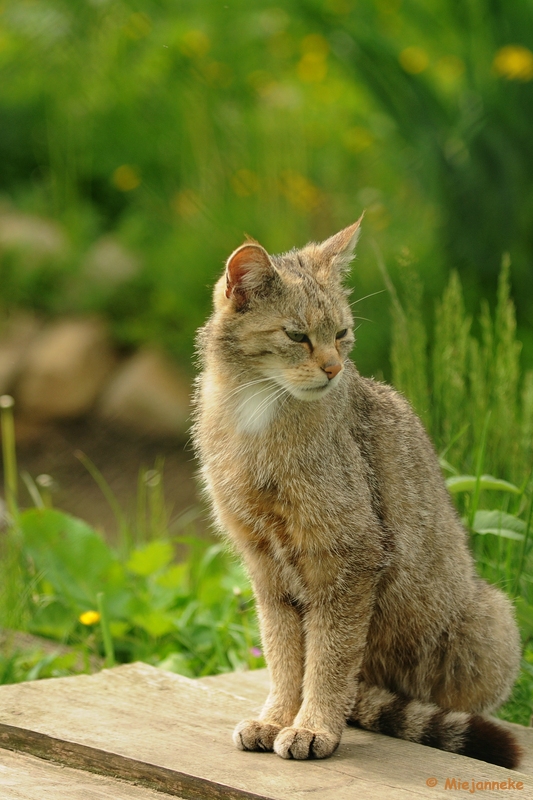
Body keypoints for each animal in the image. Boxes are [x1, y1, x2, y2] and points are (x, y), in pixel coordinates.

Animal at [191, 217, 520, 768]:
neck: (259, 414)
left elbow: (329, 657)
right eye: (297, 335)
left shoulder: (350, 558)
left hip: (494, 621)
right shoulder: (264, 565)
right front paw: (278, 717)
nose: (333, 369)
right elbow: (284, 657)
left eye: (341, 334)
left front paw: (313, 725)